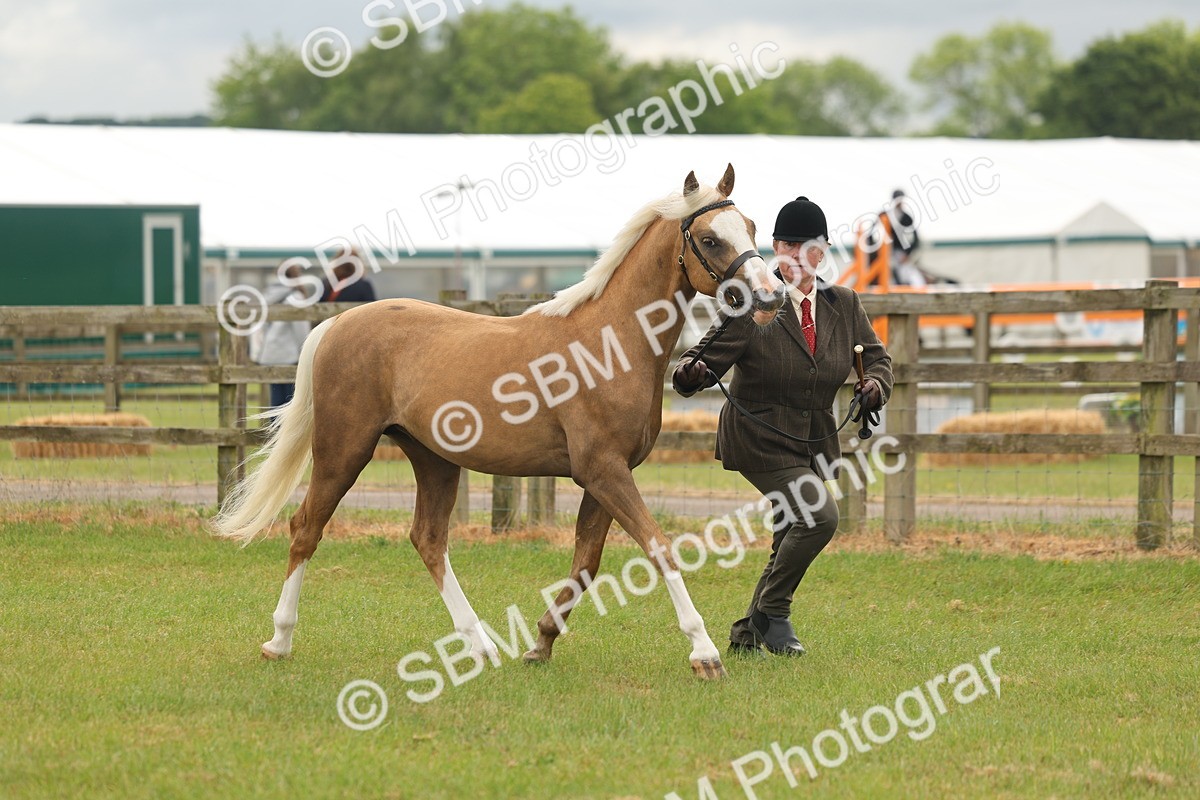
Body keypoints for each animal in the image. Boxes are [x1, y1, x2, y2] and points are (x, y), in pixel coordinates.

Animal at [212, 164, 788, 680]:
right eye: (710, 238)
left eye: (752, 226)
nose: (771, 297)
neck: (610, 342)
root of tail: (336, 323)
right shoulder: (604, 471)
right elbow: (658, 548)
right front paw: (704, 652)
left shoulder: (604, 477)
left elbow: (586, 562)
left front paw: (540, 644)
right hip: (343, 449)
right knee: (306, 527)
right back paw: (279, 641)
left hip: (433, 460)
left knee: (428, 539)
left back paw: (481, 645)